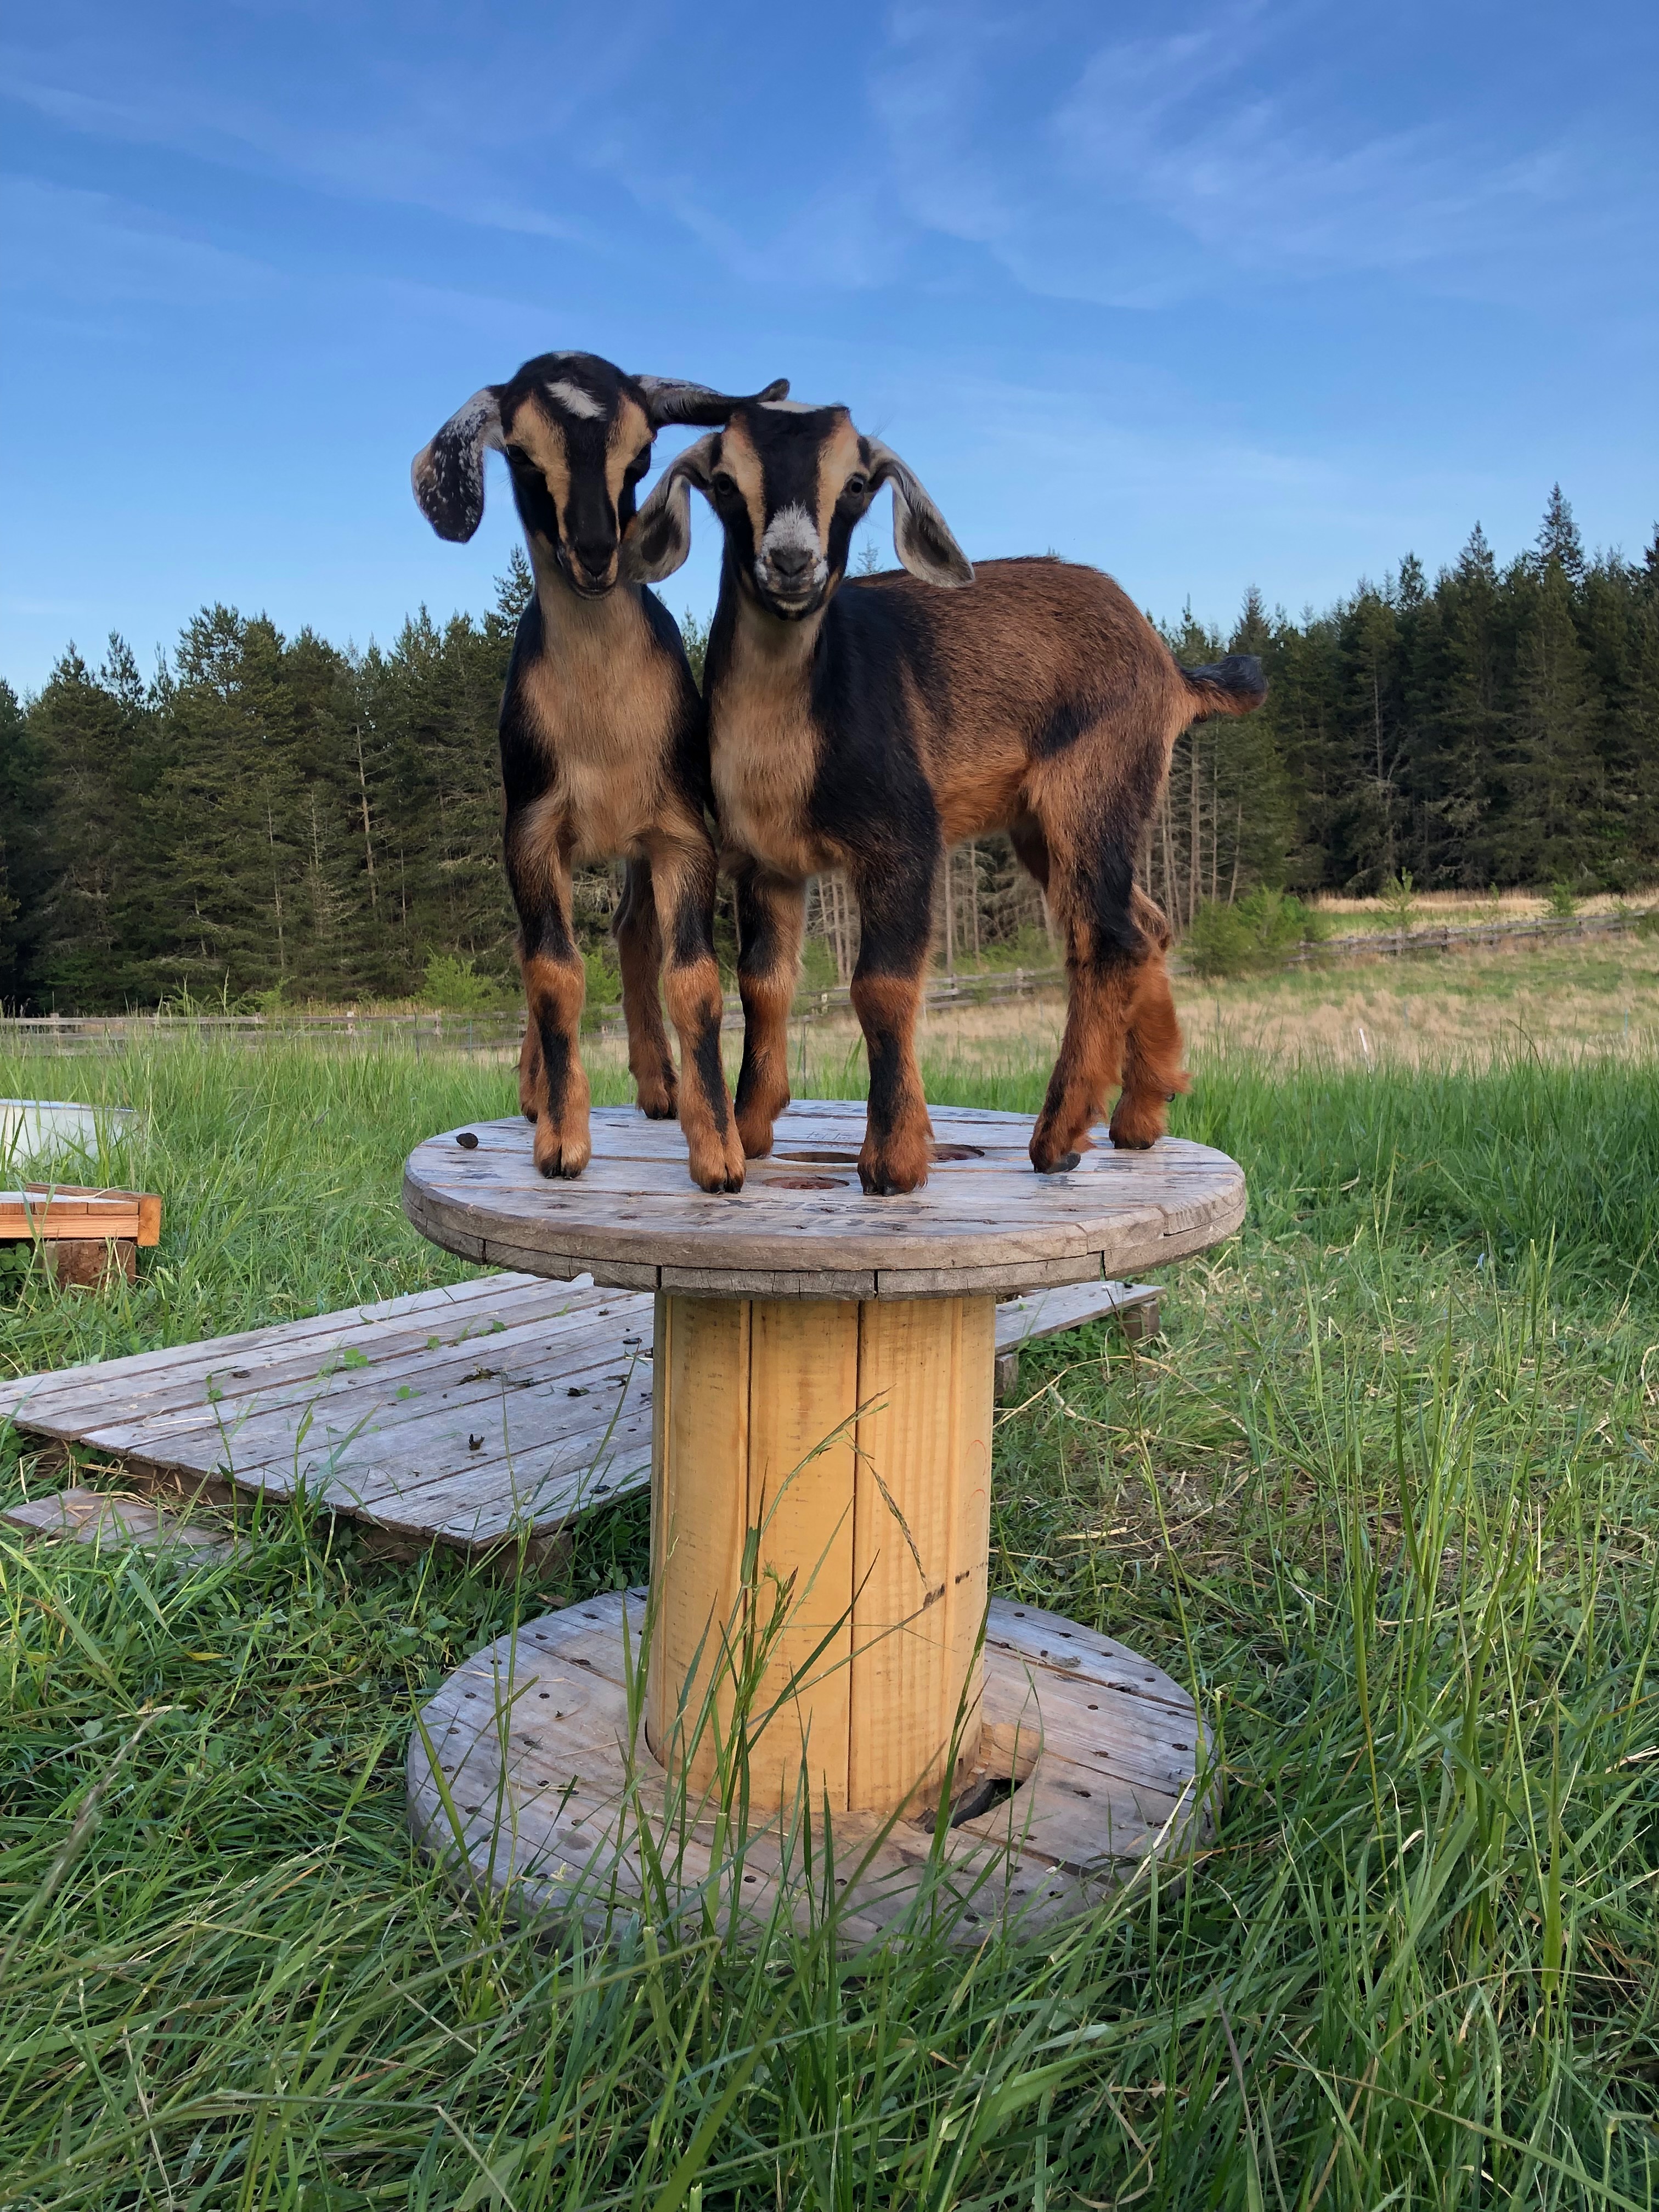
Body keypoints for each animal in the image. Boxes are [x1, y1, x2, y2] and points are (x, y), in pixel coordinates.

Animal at [412, 352, 786, 1191]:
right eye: (521, 456)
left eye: (641, 457)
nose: (593, 552)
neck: (603, 725)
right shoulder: (530, 832)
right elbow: (554, 972)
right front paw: (560, 1140)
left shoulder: (681, 832)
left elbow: (693, 978)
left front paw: (719, 1152)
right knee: (544, 955)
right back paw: (534, 1090)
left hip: (635, 847)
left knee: (632, 932)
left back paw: (658, 1085)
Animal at [625, 397, 1266, 1194]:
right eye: (723, 479)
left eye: (858, 481)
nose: (792, 562)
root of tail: (1171, 669)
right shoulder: (764, 860)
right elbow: (765, 984)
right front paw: (748, 1131)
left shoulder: (903, 841)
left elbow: (882, 986)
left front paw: (892, 1161)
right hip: (1046, 823)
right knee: (1144, 923)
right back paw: (1142, 1113)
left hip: (1094, 784)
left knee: (1108, 937)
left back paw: (1059, 1137)